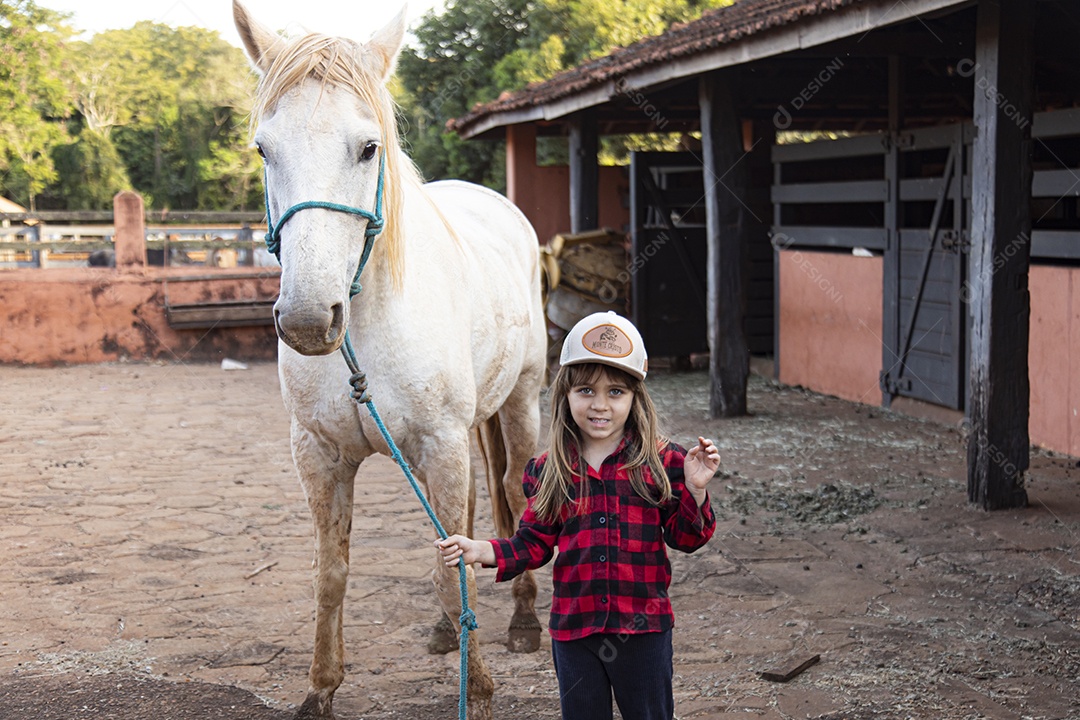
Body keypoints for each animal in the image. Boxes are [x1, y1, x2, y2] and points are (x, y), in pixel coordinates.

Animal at [232, 3, 547, 718]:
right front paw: (321, 688)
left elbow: (451, 570)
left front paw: (479, 690)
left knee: (514, 492)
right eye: (264, 149)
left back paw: (523, 621)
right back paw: (445, 631)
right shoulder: (319, 453)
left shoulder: (443, 444)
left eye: (368, 147)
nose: (307, 319)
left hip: (520, 401)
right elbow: (332, 572)